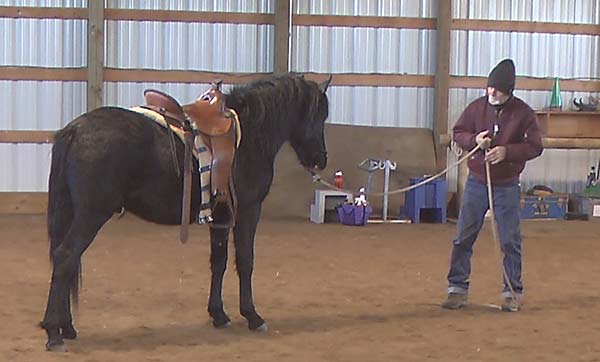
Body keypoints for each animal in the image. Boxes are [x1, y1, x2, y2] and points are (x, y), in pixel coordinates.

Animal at [41, 73, 332, 350]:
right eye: (319, 115)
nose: (321, 158)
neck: (249, 135)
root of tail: (75, 130)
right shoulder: (248, 211)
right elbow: (245, 261)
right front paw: (252, 316)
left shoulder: (220, 217)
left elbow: (219, 261)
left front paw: (218, 314)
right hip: (91, 215)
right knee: (66, 256)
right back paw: (54, 333)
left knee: (64, 260)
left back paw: (66, 327)